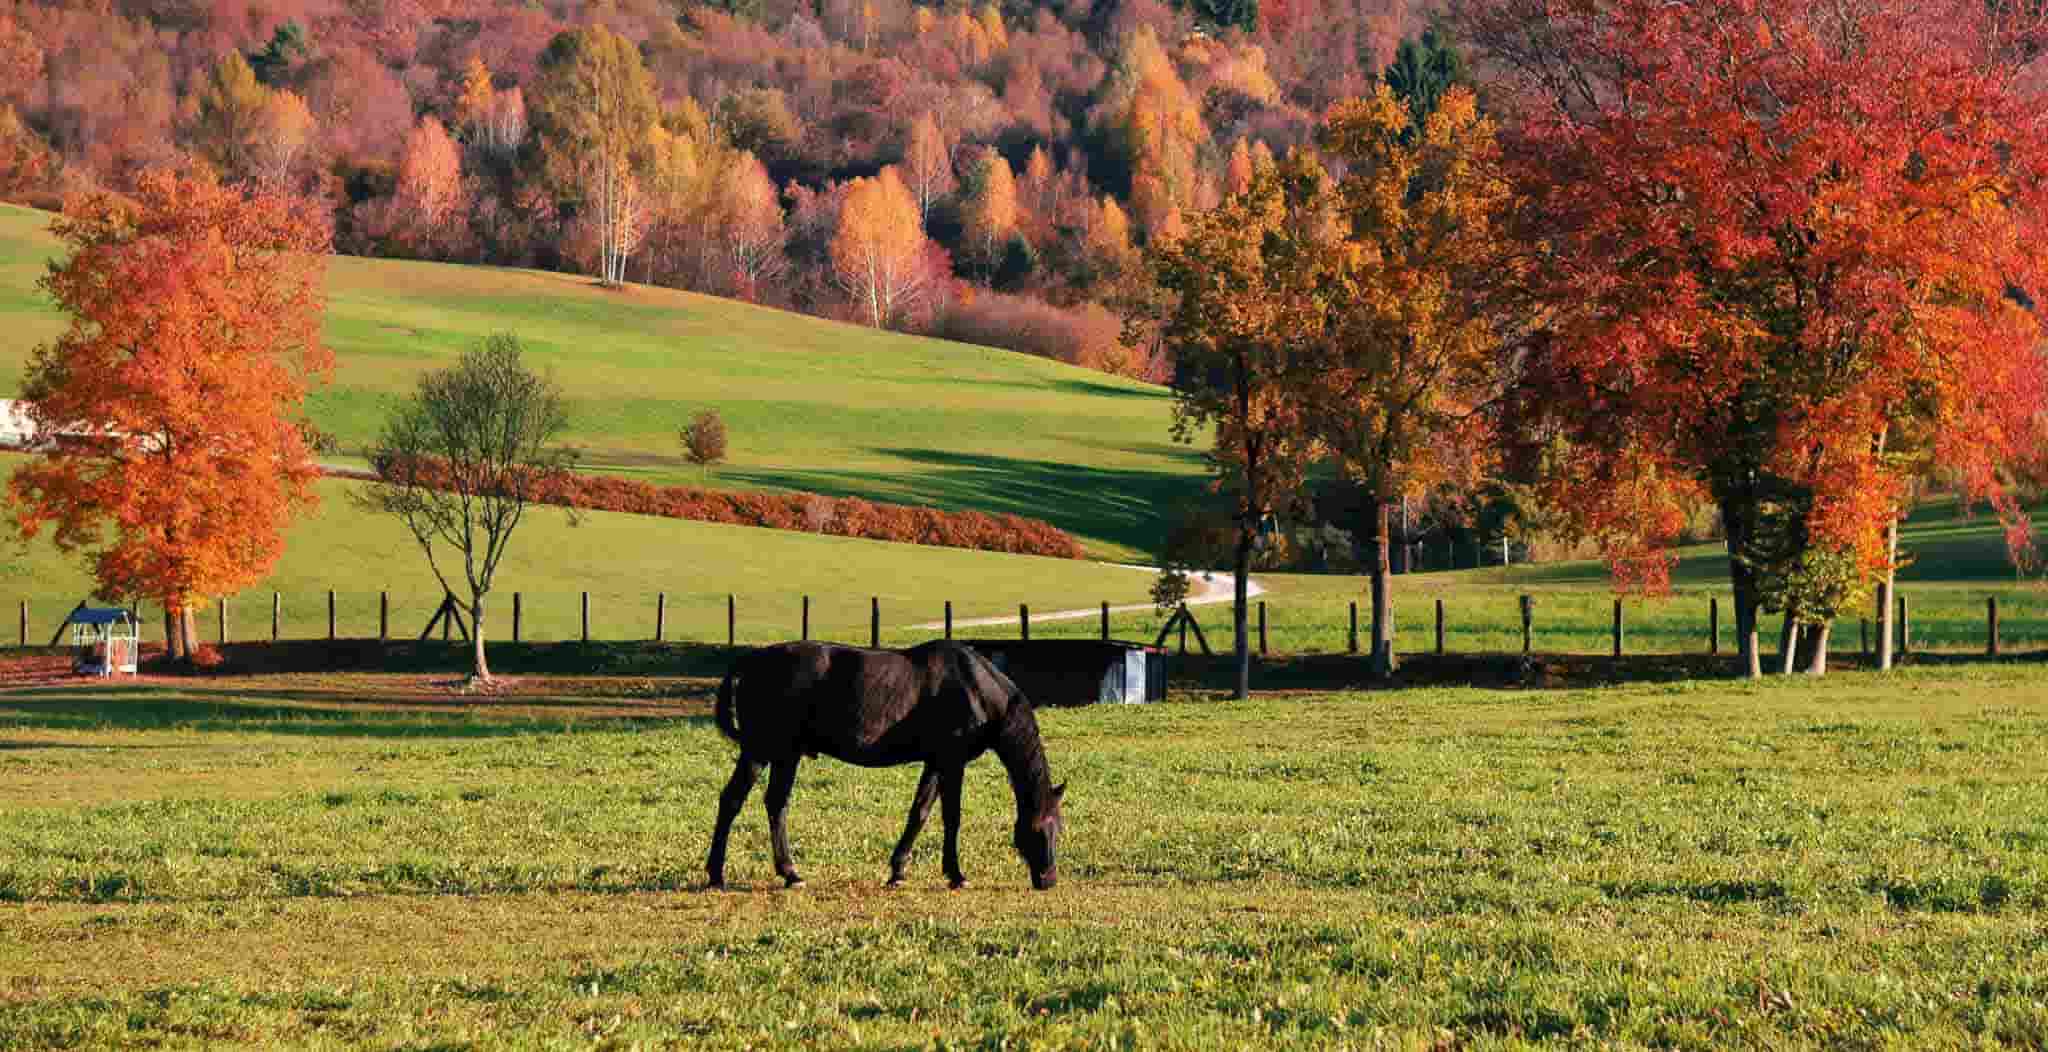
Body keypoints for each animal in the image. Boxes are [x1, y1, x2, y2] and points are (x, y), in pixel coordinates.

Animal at [704, 634, 1064, 888]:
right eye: (1041, 829)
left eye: (1059, 829)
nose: (1048, 880)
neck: (975, 687)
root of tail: (751, 662)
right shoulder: (952, 761)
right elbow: (952, 817)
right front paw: (956, 875)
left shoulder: (935, 762)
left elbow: (919, 813)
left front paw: (898, 871)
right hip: (760, 751)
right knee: (733, 801)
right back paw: (717, 875)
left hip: (784, 755)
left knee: (775, 804)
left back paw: (789, 873)